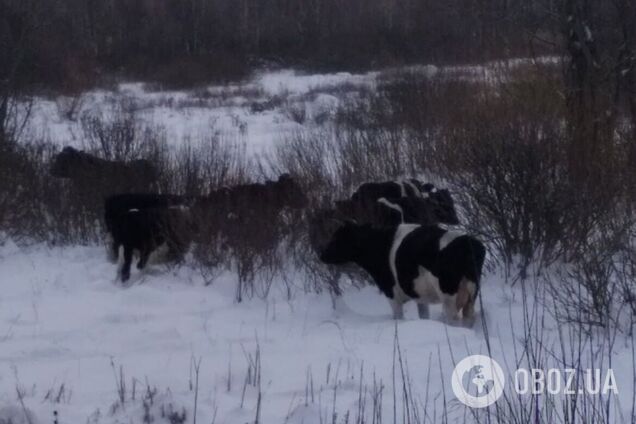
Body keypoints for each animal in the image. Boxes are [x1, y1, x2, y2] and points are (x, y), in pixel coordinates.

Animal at [320, 220, 484, 326]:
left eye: (337, 238)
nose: (322, 255)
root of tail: (467, 242)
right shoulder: (420, 296)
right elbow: (424, 315)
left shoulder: (392, 293)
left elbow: (397, 318)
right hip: (472, 295)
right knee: (469, 318)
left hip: (449, 297)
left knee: (454, 320)